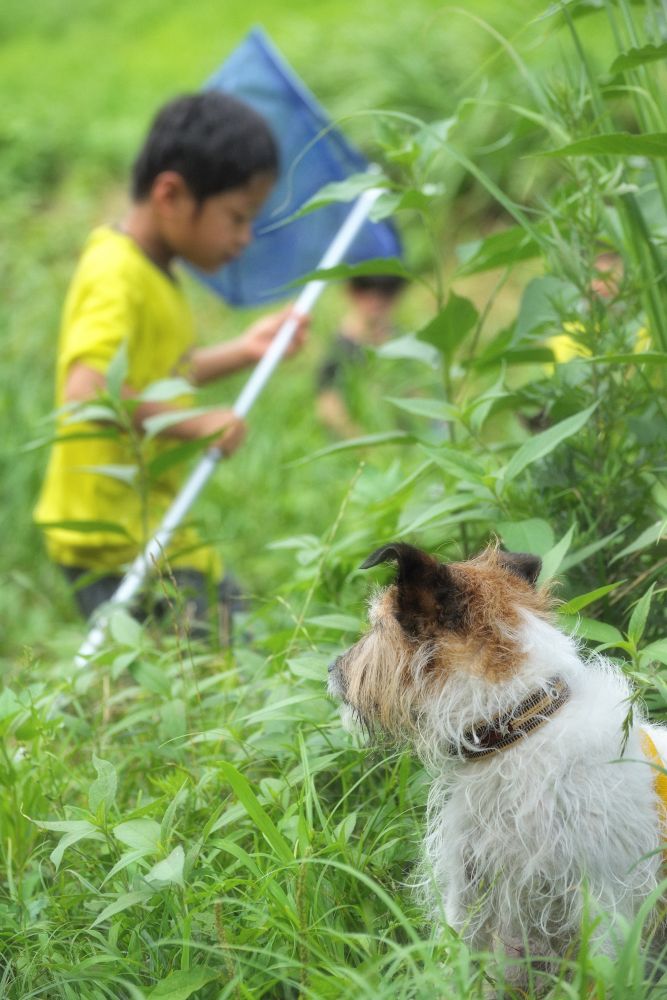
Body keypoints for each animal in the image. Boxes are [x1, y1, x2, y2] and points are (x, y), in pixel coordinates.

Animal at [328, 544, 667, 980]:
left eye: (377, 626)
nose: (331, 669)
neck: (521, 725)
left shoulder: (606, 903)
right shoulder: (471, 884)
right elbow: (458, 961)